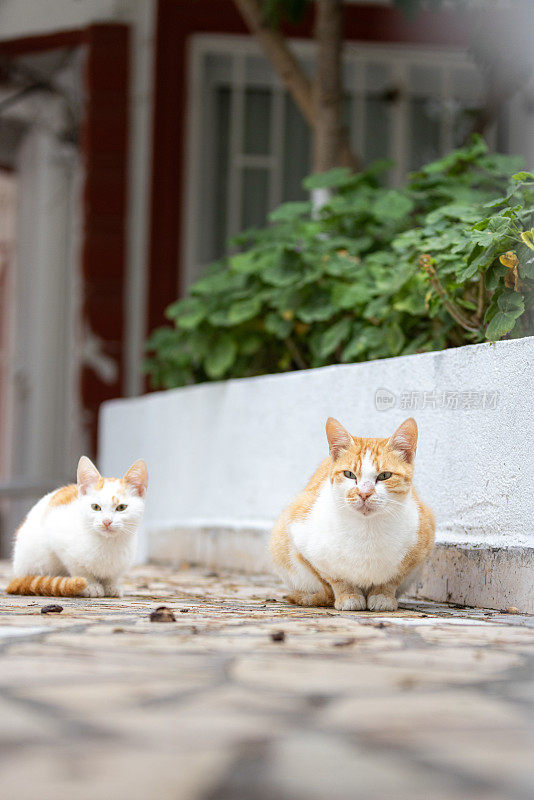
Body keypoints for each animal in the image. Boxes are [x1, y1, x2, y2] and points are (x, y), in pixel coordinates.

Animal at [8, 456, 150, 600]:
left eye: (121, 507)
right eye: (95, 507)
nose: (106, 521)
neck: (108, 544)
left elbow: (112, 576)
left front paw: (111, 585)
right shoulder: (58, 537)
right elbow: (79, 569)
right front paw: (90, 585)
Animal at [272, 416, 436, 608]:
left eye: (385, 476)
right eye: (349, 474)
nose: (364, 493)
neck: (367, 530)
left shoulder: (421, 545)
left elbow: (393, 578)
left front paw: (383, 595)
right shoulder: (302, 539)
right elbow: (333, 578)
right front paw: (348, 595)